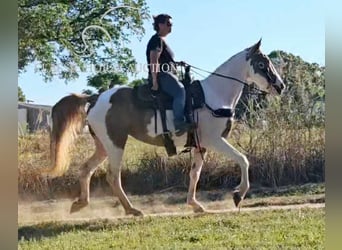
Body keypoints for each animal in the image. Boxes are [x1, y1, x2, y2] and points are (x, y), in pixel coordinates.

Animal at [44, 40, 286, 216]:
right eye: (262, 64)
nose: (280, 86)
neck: (215, 95)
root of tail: (95, 98)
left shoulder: (200, 146)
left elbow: (195, 174)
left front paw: (195, 204)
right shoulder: (214, 140)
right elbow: (243, 160)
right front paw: (238, 194)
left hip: (103, 145)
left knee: (86, 169)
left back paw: (81, 203)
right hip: (115, 144)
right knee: (113, 176)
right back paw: (131, 209)